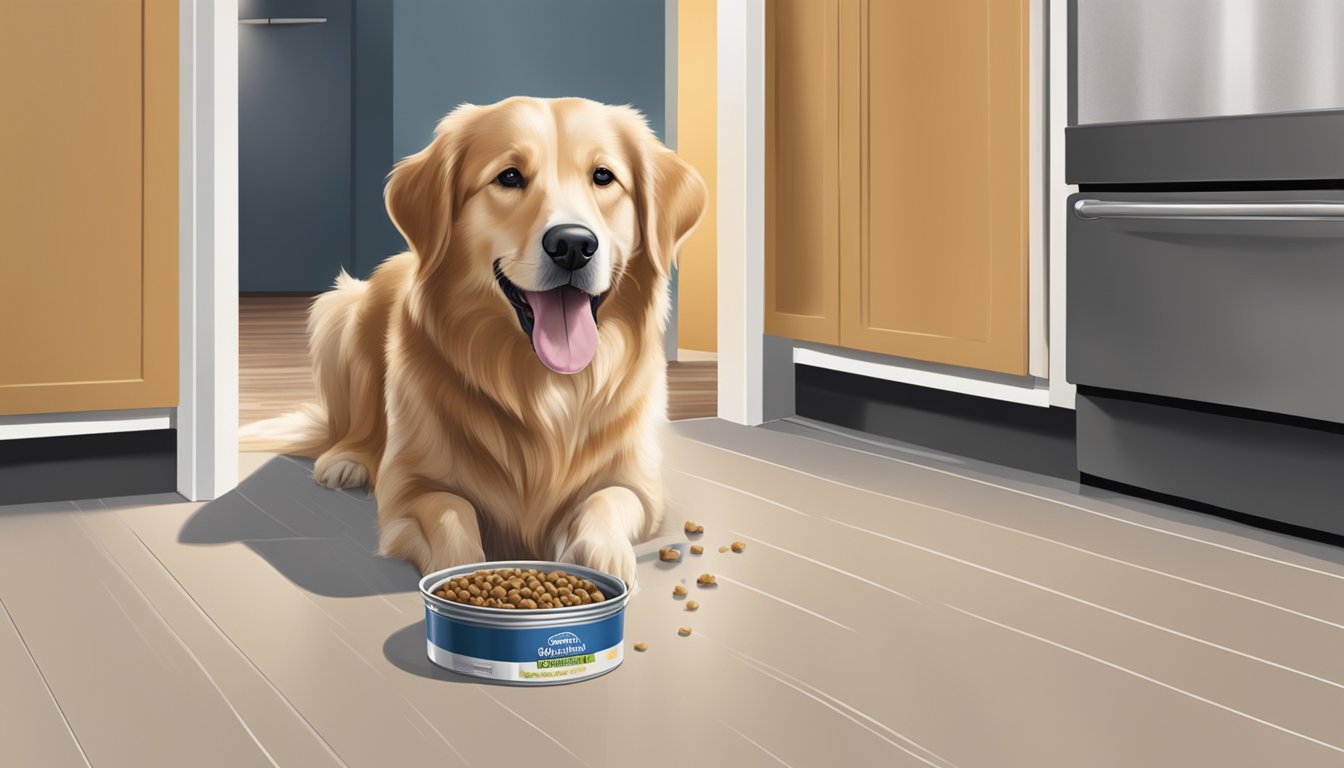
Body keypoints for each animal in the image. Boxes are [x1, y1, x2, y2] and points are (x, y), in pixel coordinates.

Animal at [244, 94, 704, 589]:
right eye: (509, 177)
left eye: (603, 176)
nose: (573, 245)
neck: (542, 387)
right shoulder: (410, 488)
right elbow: (453, 513)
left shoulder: (639, 486)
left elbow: (606, 501)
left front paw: (602, 556)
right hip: (342, 312)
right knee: (355, 426)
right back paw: (347, 459)